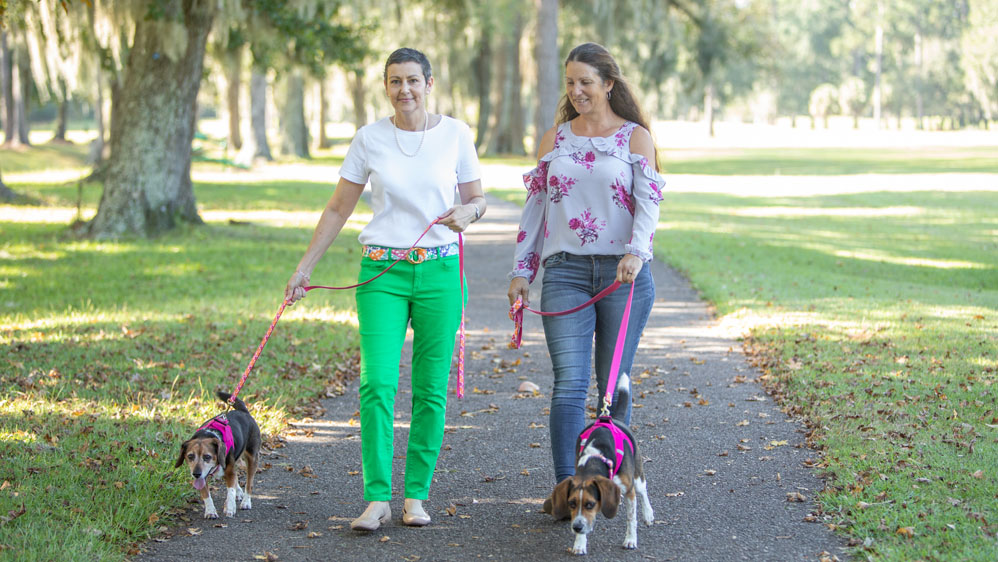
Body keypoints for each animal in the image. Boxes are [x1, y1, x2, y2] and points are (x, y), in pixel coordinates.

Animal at [548, 374, 656, 552]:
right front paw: (579, 543)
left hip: (637, 478)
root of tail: (613, 419)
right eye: (571, 503)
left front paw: (630, 540)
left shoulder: (629, 491)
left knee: (643, 491)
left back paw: (648, 514)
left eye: (590, 504)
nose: (576, 527)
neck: (595, 459)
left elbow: (631, 519)